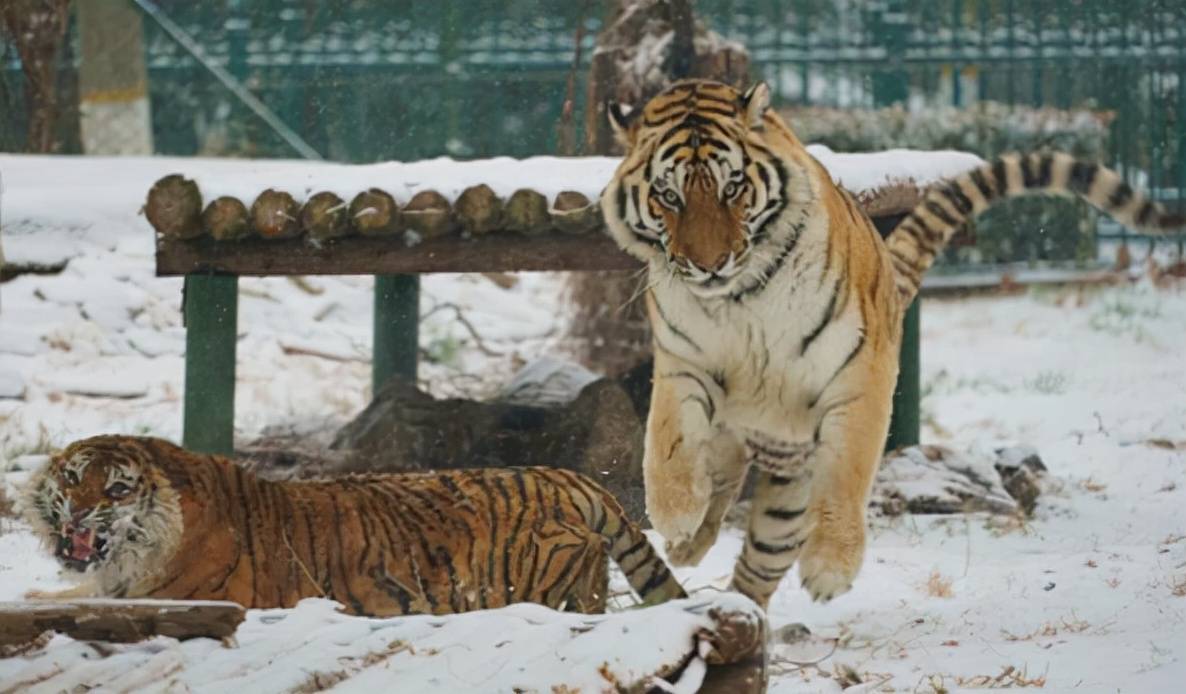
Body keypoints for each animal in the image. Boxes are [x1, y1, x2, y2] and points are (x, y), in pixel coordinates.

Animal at [607, 77, 1181, 607]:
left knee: (761, 560)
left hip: (790, 480)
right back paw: (689, 548)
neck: (739, 298)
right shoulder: (683, 363)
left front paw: (831, 567)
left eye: (732, 188)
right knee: (724, 485)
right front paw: (674, 515)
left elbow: (847, 473)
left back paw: (735, 603)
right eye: (669, 195)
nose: (710, 264)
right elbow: (667, 441)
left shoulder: (859, 373)